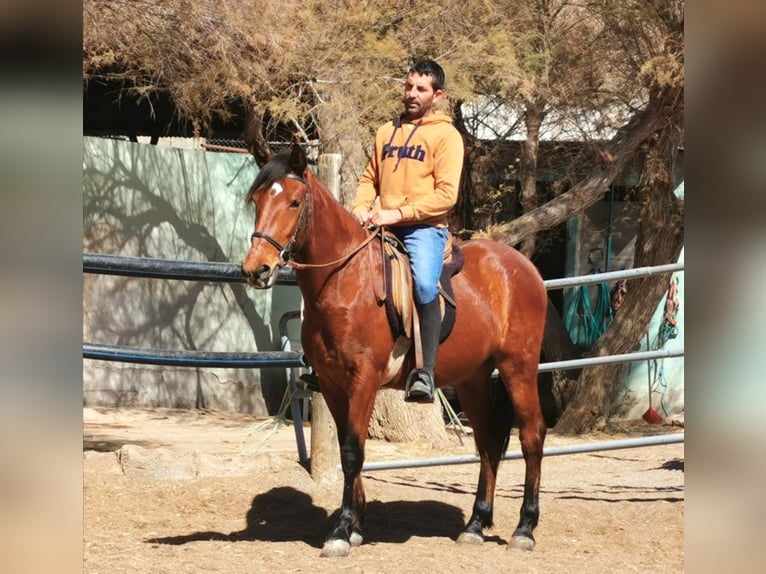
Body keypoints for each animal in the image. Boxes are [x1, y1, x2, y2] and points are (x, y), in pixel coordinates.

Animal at [243, 144, 548, 560]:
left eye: (293, 202)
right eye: (257, 201)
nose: (256, 269)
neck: (344, 279)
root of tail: (523, 267)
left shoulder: (364, 379)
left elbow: (353, 451)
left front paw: (341, 531)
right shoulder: (333, 384)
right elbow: (348, 447)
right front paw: (354, 525)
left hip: (519, 368)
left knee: (532, 435)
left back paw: (524, 529)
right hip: (473, 379)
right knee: (487, 441)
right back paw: (475, 524)